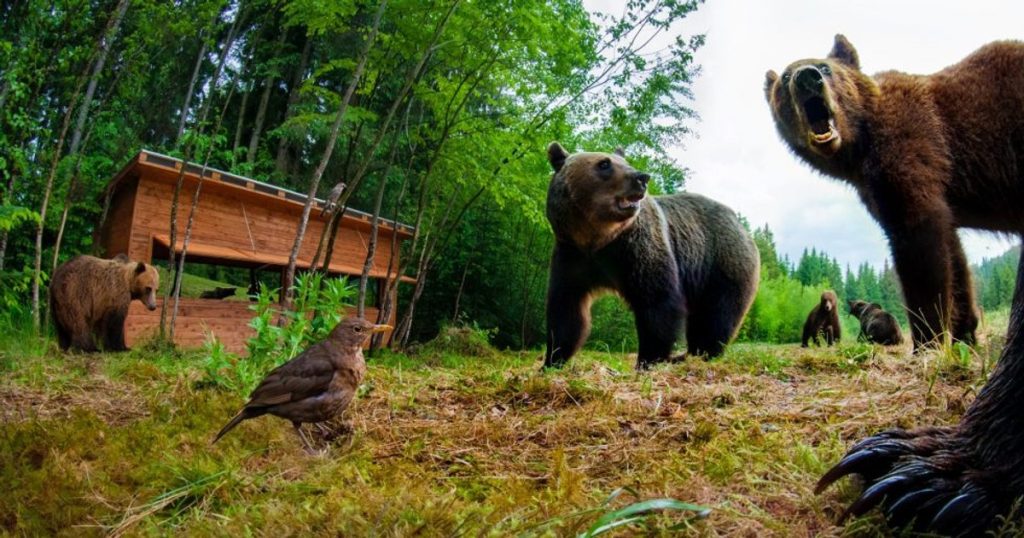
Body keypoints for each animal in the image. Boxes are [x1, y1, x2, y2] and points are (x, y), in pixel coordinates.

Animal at [543, 142, 760, 369]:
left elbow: (657, 302)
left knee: (716, 315)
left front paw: (648, 360)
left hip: (722, 263)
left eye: (625, 162)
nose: (641, 178)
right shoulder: (572, 256)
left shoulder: (637, 250)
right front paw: (552, 360)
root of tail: (738, 222)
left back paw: (701, 353)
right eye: (604, 163)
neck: (598, 239)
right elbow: (567, 310)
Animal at [764, 37, 1024, 533]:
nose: (808, 77)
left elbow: (919, 244)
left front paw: (928, 345)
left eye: (825, 66)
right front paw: (964, 333)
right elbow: (954, 257)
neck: (858, 143)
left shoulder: (912, 151)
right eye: (785, 77)